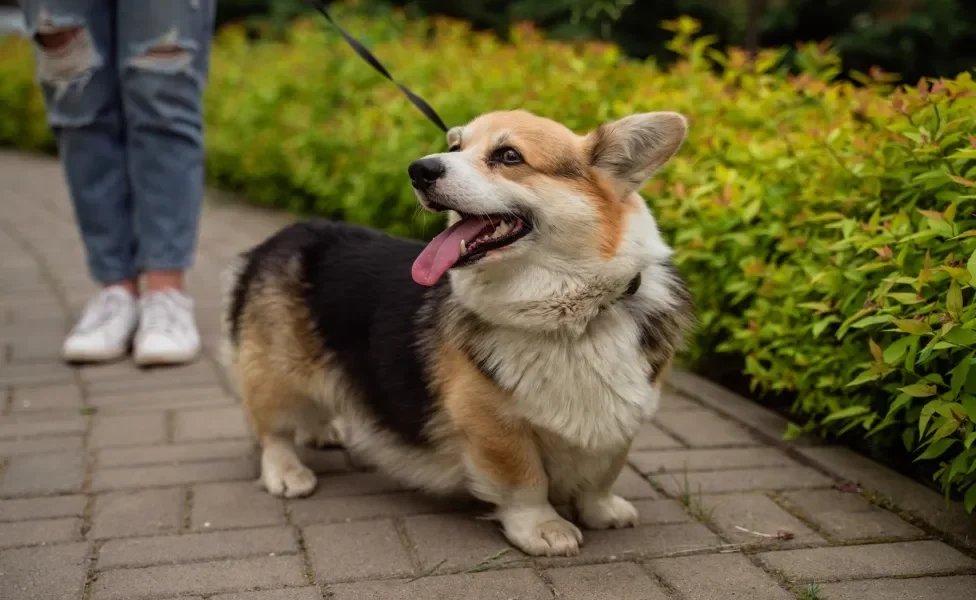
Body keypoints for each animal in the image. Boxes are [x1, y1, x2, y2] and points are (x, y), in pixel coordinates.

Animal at [221, 109, 692, 556]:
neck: (572, 315)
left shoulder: (623, 415)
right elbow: (525, 480)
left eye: (509, 156)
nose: (419, 169)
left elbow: (602, 472)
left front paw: (602, 511)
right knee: (272, 430)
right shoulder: (491, 422)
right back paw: (287, 473)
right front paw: (543, 529)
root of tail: (281, 236)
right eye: (454, 146)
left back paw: (323, 431)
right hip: (276, 372)